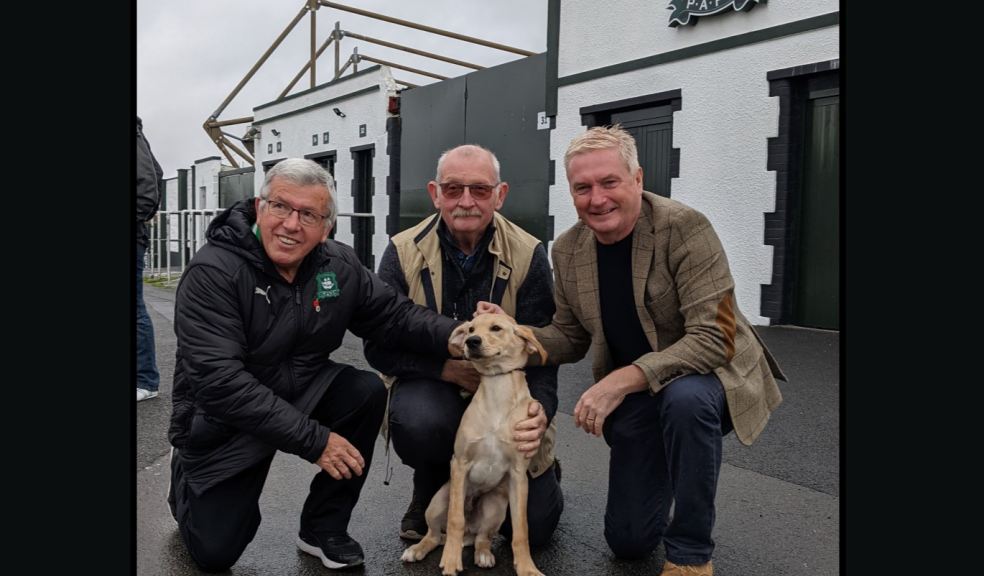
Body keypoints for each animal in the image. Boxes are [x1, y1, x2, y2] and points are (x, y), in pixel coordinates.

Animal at [404, 316, 548, 576]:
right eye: (470, 328)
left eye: (496, 328)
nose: (471, 341)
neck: (498, 391)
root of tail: (469, 535)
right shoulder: (460, 464)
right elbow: (455, 520)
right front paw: (451, 561)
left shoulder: (518, 475)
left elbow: (521, 530)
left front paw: (526, 567)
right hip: (438, 502)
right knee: (436, 534)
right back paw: (418, 550)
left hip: (495, 507)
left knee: (483, 537)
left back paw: (483, 554)